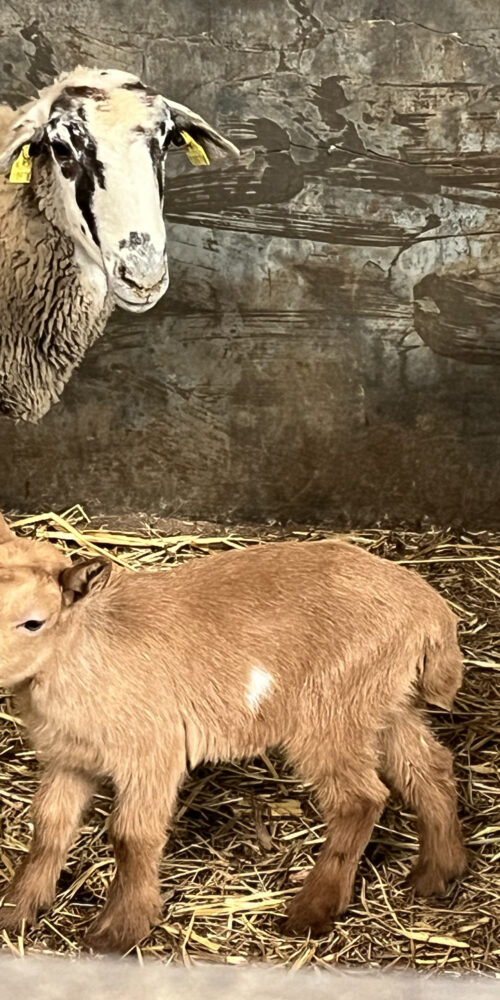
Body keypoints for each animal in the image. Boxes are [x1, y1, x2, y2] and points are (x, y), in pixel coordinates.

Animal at [0, 512, 466, 952]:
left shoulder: (152, 752)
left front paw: (119, 930)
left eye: (34, 622)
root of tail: (429, 609)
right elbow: (48, 827)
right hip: (385, 702)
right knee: (428, 769)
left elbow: (132, 835)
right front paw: (17, 909)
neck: (82, 651)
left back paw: (312, 910)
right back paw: (436, 873)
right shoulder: (69, 758)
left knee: (360, 799)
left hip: (331, 710)